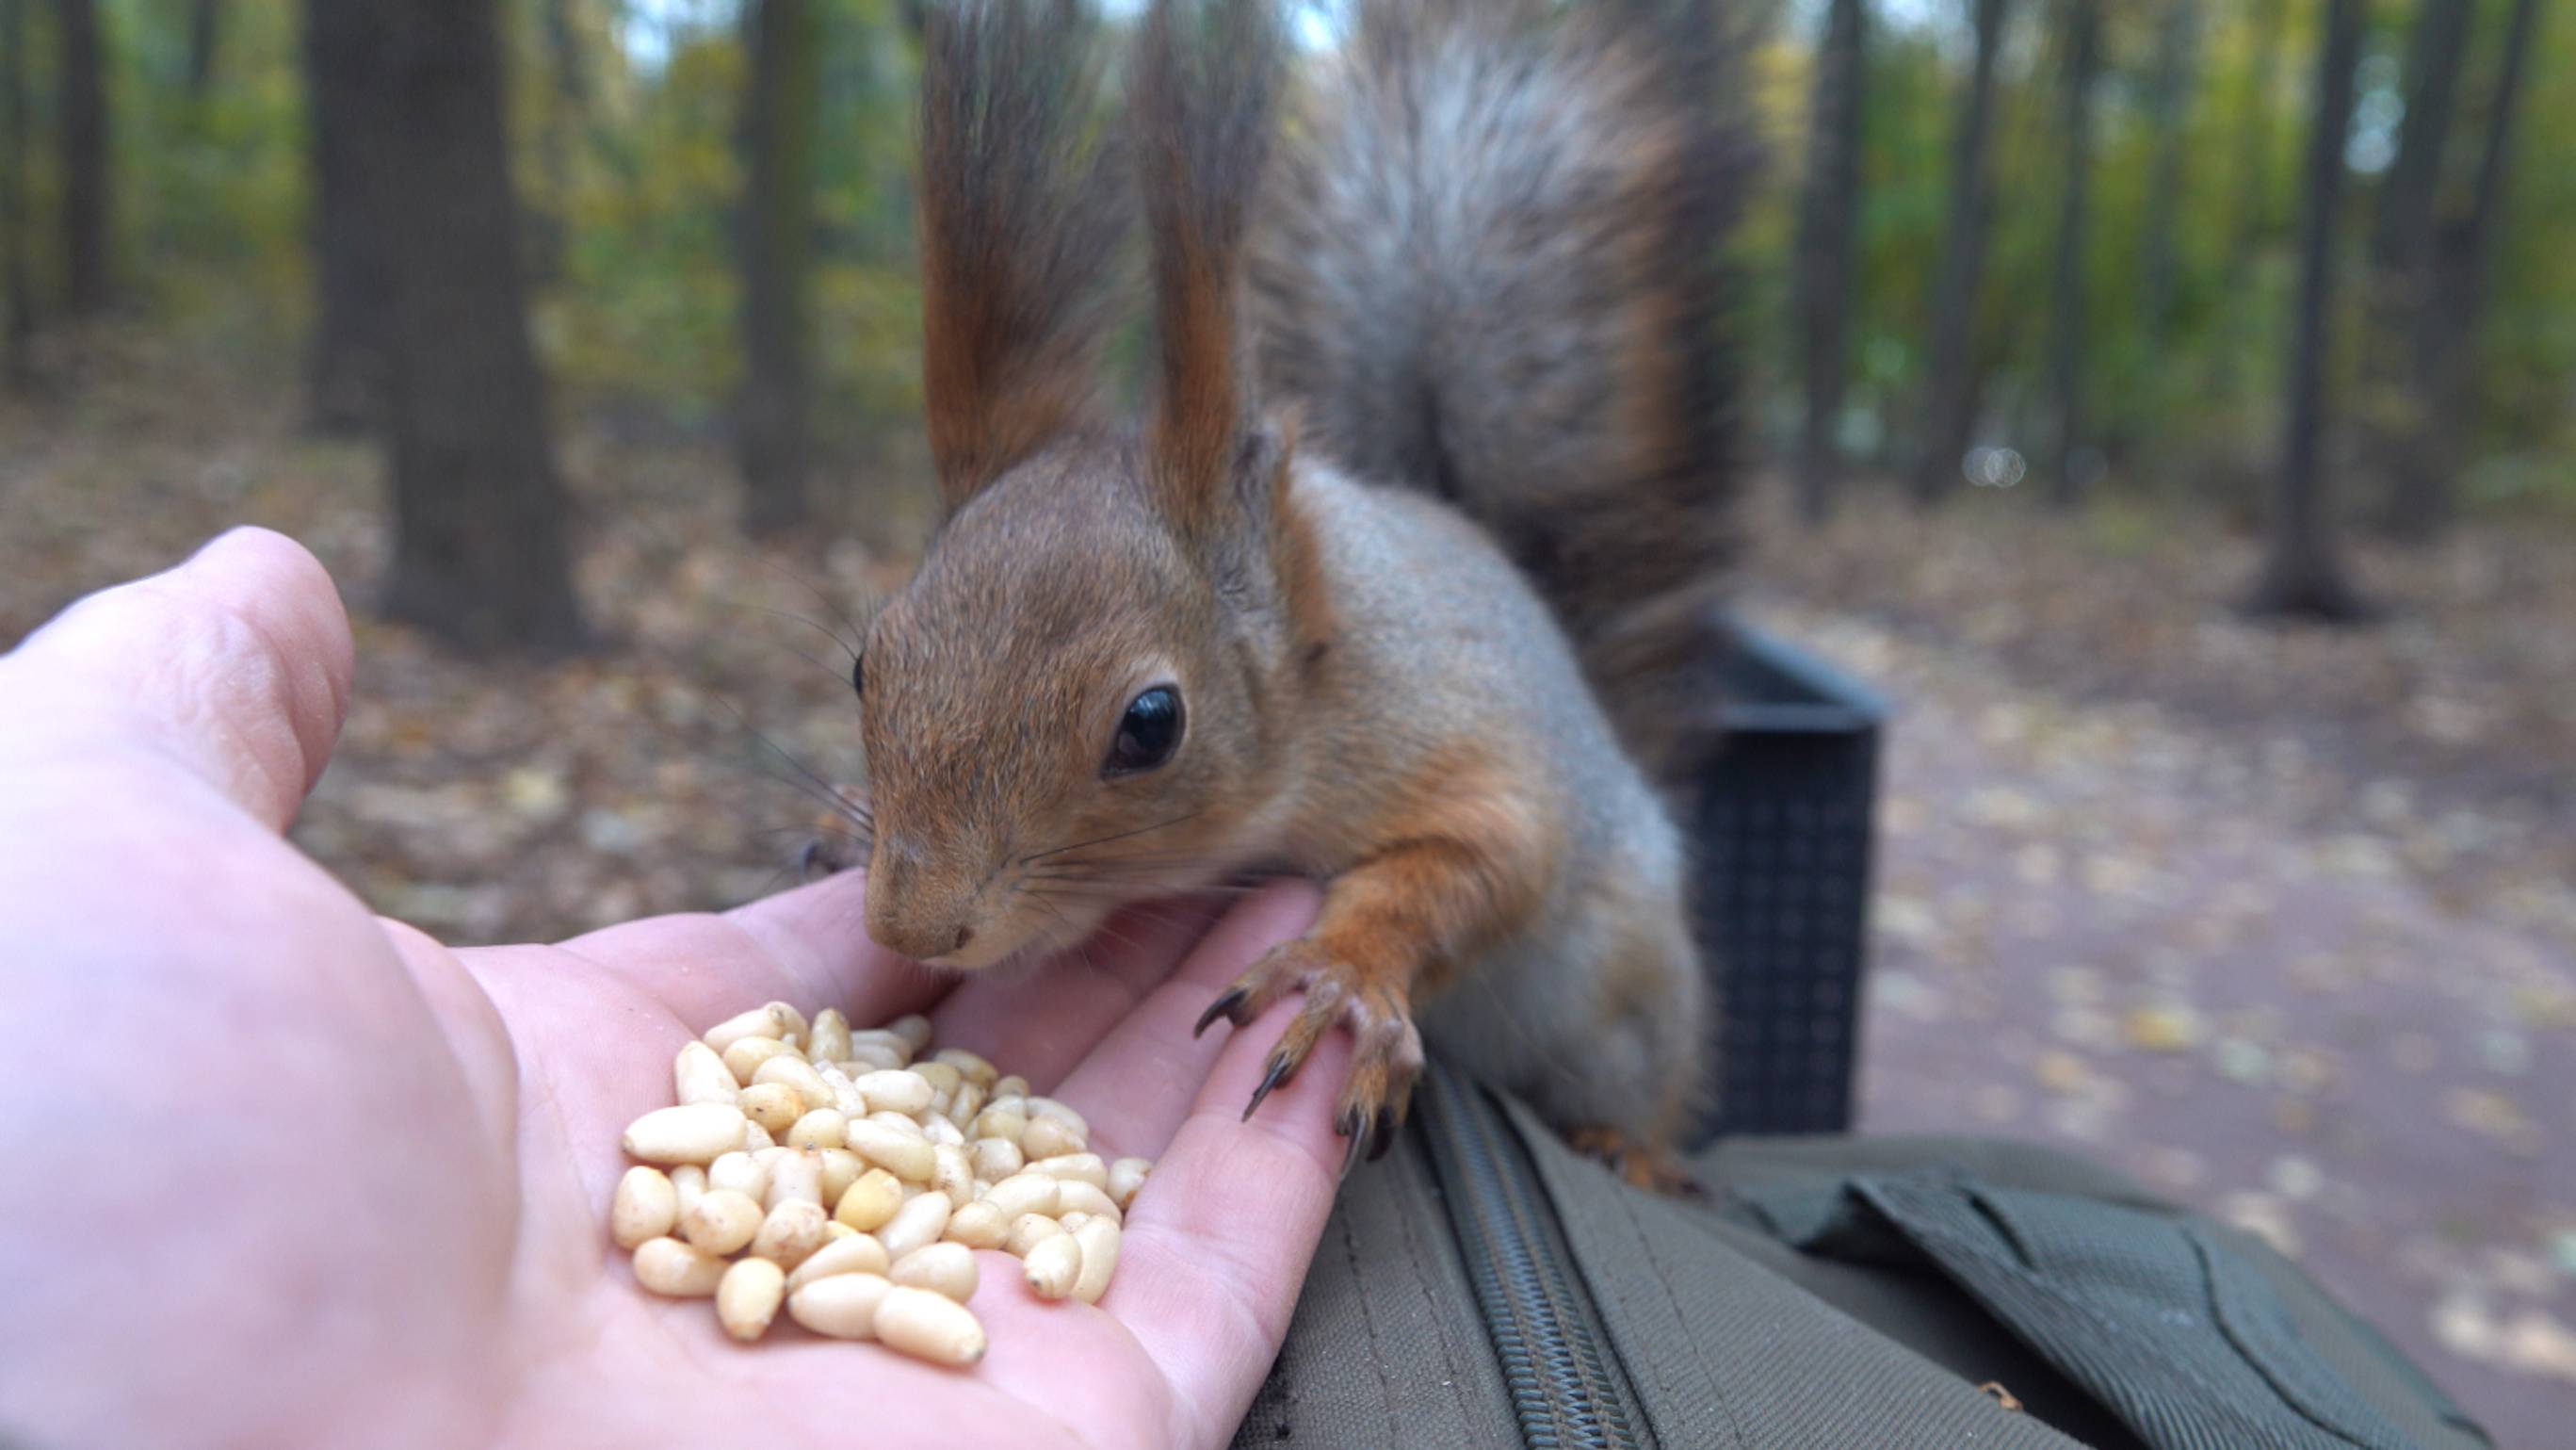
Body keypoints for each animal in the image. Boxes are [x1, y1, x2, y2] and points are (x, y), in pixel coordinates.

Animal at [855, 0, 1741, 1184]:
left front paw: (1340, 973)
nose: (913, 927)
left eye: (1151, 724)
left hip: (1630, 1013)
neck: (1322, 660)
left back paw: (1627, 1150)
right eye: (865, 665)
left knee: (1642, 1097)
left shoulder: (1467, 740)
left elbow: (1478, 869)